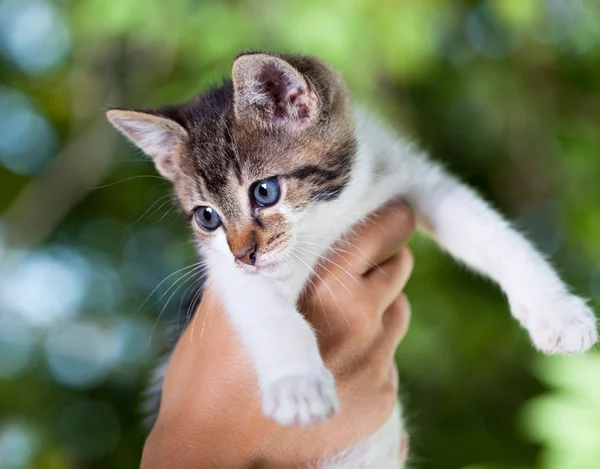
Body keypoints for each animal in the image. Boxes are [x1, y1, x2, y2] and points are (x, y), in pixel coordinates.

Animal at [105, 53, 596, 466]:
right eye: (207, 217)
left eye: (264, 191)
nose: (244, 253)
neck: (331, 218)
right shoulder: (229, 274)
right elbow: (268, 313)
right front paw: (297, 386)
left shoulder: (417, 181)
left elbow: (493, 233)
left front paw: (559, 312)